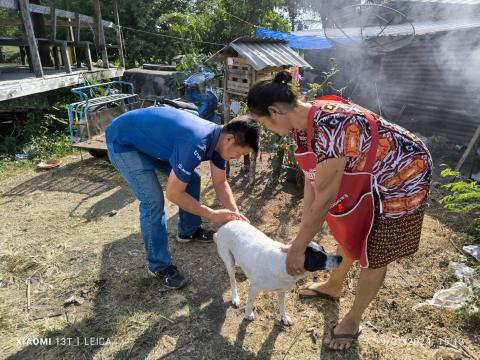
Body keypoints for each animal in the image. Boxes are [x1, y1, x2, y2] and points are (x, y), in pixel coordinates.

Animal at [214, 221, 342, 324]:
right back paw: (235, 297)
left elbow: (281, 306)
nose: (340, 258)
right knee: (232, 280)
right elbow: (249, 303)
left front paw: (284, 318)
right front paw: (248, 314)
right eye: (318, 257)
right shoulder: (254, 288)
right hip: (229, 261)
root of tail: (223, 227)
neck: (283, 263)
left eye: (323, 249)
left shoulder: (282, 291)